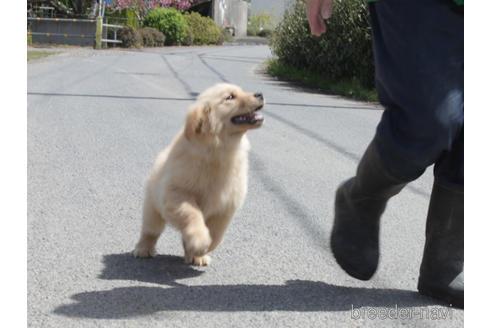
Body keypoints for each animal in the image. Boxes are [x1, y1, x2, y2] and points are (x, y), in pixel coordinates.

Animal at [133, 83, 266, 266]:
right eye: (230, 97)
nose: (260, 94)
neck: (219, 150)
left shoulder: (226, 206)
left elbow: (217, 234)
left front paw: (202, 250)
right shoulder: (177, 193)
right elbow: (193, 214)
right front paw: (200, 241)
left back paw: (193, 254)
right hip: (152, 207)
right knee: (150, 231)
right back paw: (143, 249)